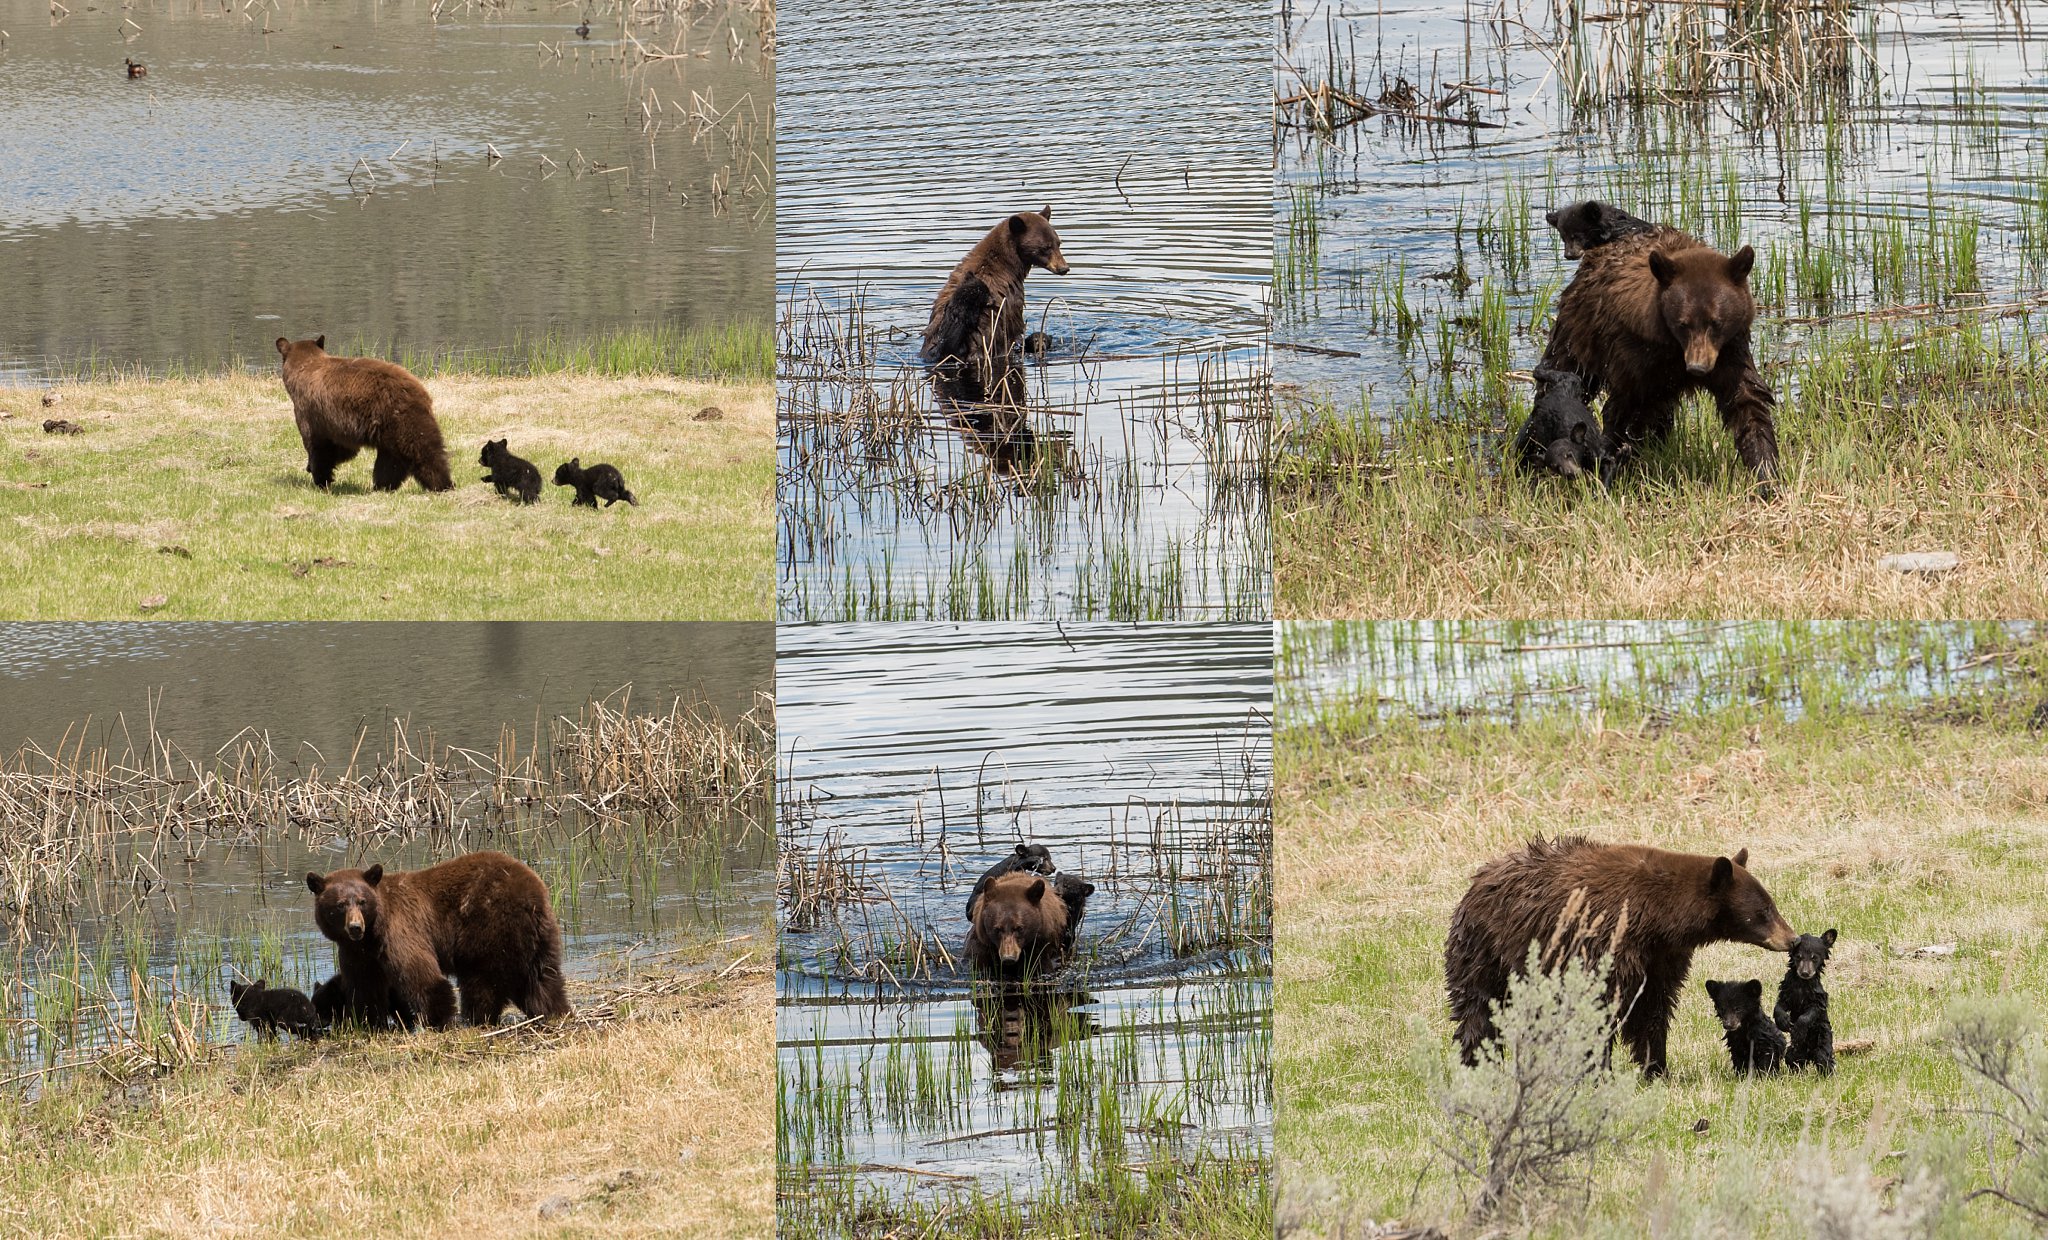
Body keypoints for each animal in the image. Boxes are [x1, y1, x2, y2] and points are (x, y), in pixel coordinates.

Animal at [274, 338, 454, 498]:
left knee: (422, 450)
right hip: (389, 430)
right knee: (391, 461)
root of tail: (417, 390)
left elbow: (318, 446)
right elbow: (341, 448)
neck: (305, 367)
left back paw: (442, 484)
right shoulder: (335, 424)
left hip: (399, 418)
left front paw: (319, 478)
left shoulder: (311, 413)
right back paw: (383, 486)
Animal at [299, 844, 569, 1028]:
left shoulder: (400, 931)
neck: (373, 932)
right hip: (540, 936)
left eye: (362, 902)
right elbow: (364, 986)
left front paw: (438, 1019)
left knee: (481, 980)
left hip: (487, 927)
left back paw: (475, 1018)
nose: (355, 927)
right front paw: (367, 1022)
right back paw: (554, 1011)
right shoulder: (357, 953)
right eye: (339, 905)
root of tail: (532, 895)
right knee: (543, 979)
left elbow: (421, 974)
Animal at [1441, 836, 1794, 1082]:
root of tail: (1476, 882)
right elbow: (1600, 1005)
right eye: (1763, 911)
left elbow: (1652, 1009)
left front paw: (1657, 1069)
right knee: (1478, 1010)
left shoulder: (1660, 957)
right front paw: (1600, 1073)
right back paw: (1476, 1064)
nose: (1791, 938)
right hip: (1487, 951)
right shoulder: (1605, 944)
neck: (1656, 918)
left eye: (1771, 904)